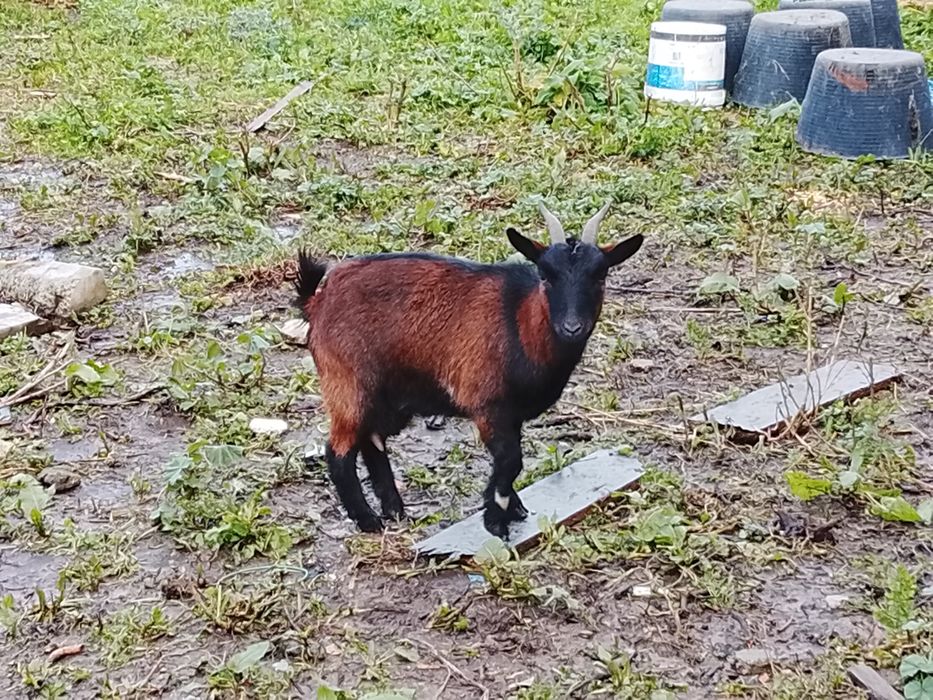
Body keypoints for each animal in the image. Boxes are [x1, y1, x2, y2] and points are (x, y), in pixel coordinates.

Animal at [295, 202, 643, 538]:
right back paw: (368, 520)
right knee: (338, 451)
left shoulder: (512, 414)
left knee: (372, 439)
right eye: (545, 275)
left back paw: (395, 510)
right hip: (348, 384)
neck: (519, 321)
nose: (572, 327)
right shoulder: (487, 405)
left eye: (600, 275)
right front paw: (495, 519)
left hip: (385, 397)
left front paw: (513, 509)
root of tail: (317, 301)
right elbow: (510, 459)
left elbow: (510, 460)